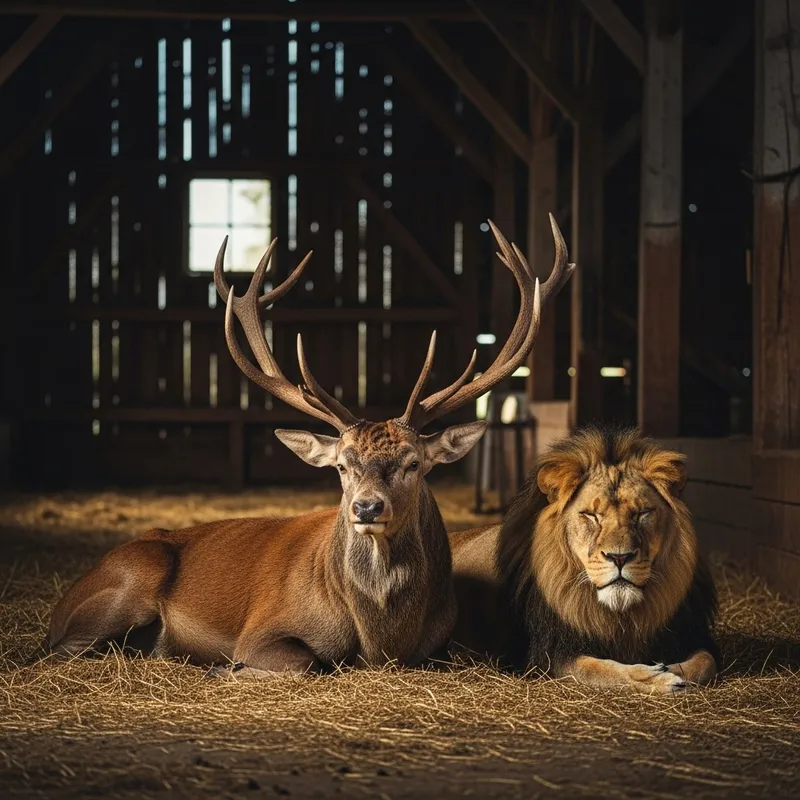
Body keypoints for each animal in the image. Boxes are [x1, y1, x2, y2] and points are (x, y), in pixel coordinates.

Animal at [46, 215, 575, 678]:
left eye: (414, 464)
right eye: (341, 466)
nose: (367, 507)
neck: (381, 640)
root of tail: (59, 606)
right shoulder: (261, 630)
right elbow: (307, 662)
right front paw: (226, 668)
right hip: (132, 578)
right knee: (58, 653)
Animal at [449, 425, 719, 694]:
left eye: (642, 513)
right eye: (591, 515)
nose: (619, 557)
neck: (621, 617)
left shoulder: (690, 634)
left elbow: (707, 662)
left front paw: (674, 669)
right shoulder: (551, 656)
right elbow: (601, 670)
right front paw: (658, 678)